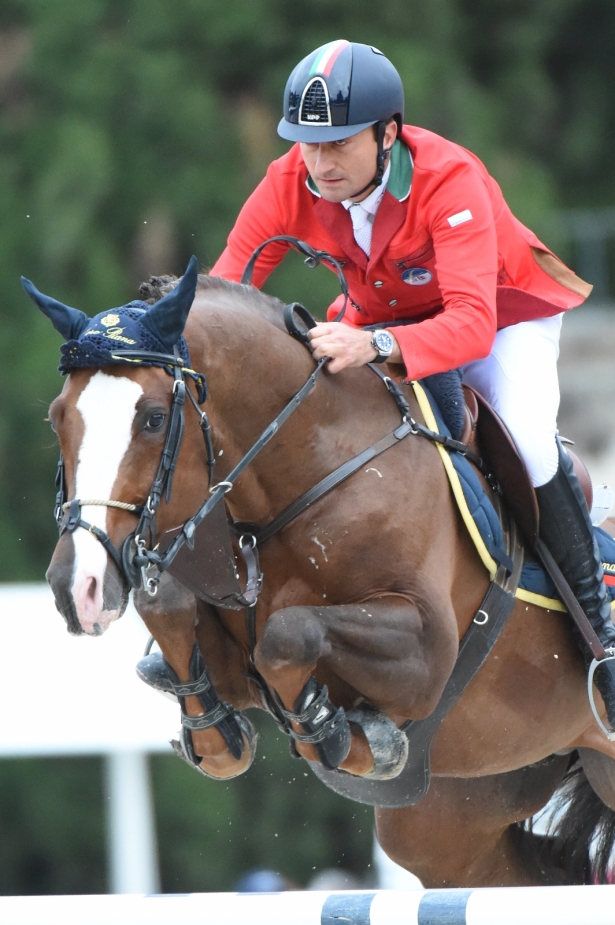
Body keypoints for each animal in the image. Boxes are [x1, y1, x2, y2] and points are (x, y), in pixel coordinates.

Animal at [25, 260, 615, 888]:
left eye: (154, 419)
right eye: (57, 418)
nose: (77, 589)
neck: (311, 466)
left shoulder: (427, 651)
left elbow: (290, 634)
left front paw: (339, 733)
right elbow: (171, 609)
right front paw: (219, 737)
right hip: (456, 815)